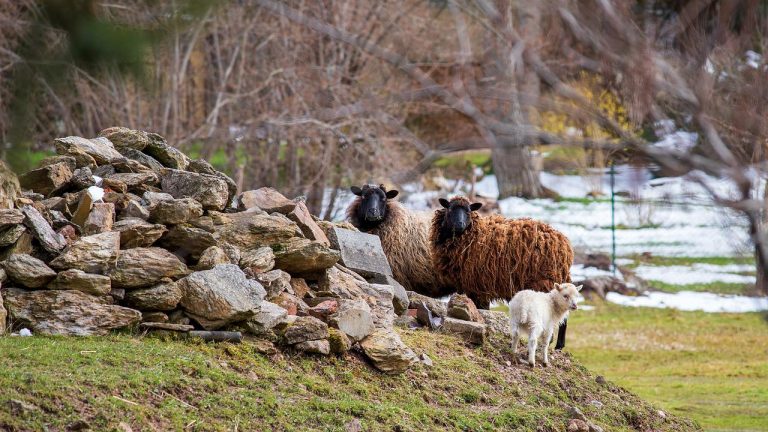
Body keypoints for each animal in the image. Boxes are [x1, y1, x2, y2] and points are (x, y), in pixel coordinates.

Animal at [428, 197, 572, 350]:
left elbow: (482, 309)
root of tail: (564, 245)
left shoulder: (478, 287)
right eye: (450, 209)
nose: (460, 225)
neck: (473, 234)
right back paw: (558, 345)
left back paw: (554, 343)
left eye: (468, 211)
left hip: (544, 282)